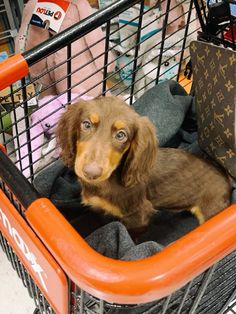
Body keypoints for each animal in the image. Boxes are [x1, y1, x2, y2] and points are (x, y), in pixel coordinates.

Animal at [56, 95, 231, 231]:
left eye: (121, 135)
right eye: (86, 124)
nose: (91, 173)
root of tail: (225, 177)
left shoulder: (139, 215)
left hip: (211, 209)